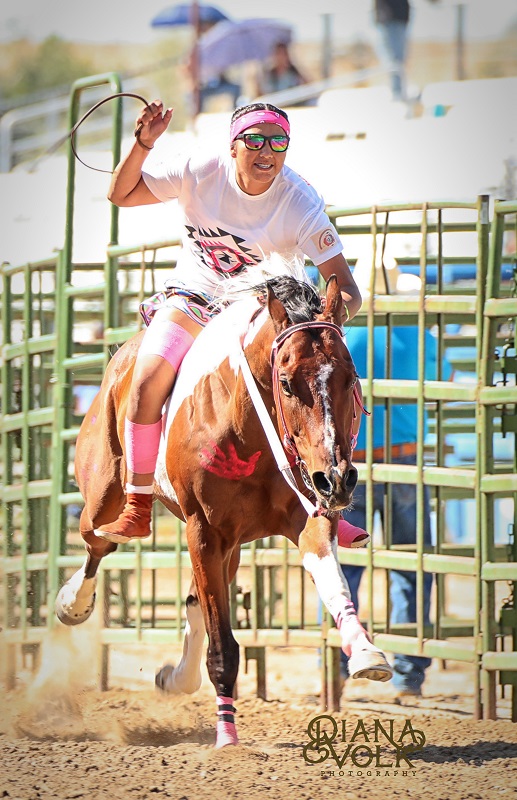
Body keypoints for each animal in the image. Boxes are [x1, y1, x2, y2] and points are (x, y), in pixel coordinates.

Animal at [55, 272, 392, 748]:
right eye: (286, 382)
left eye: (350, 377)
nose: (337, 479)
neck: (247, 428)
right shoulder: (204, 531)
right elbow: (223, 649)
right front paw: (227, 738)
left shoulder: (306, 517)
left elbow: (332, 583)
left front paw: (364, 650)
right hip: (105, 500)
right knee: (96, 543)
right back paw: (73, 603)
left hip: (232, 544)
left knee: (193, 597)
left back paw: (176, 678)